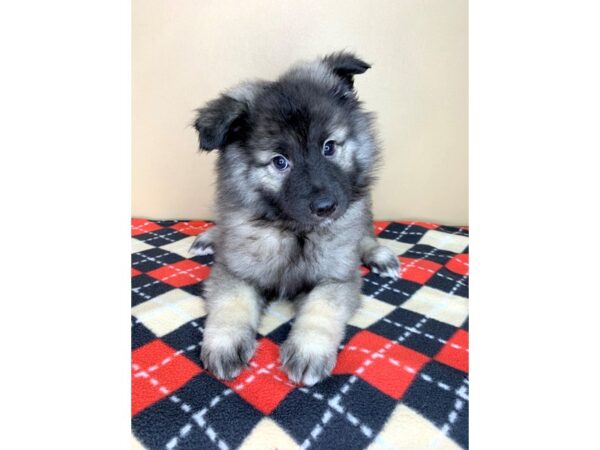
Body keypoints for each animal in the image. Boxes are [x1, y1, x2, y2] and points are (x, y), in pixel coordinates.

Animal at [190, 51, 400, 384]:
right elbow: (231, 301)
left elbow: (321, 307)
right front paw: (225, 342)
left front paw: (308, 349)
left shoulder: (337, 277)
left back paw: (379, 255)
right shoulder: (234, 270)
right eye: (280, 162)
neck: (294, 231)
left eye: (329, 147)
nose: (326, 207)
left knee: (365, 234)